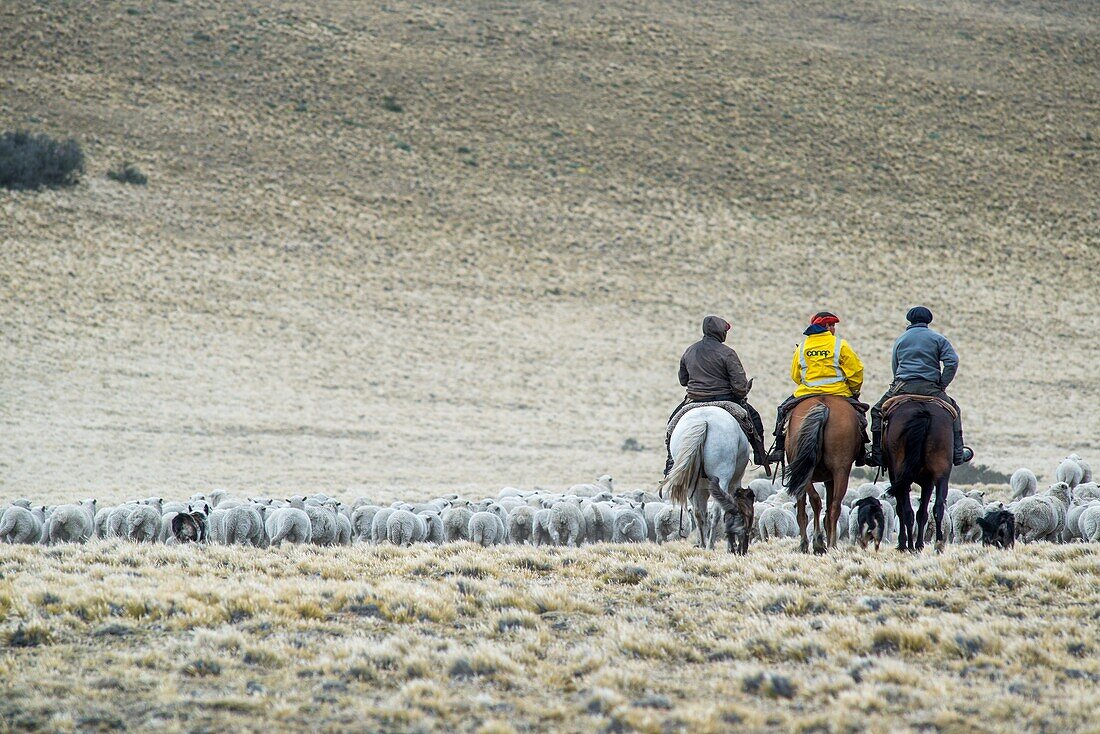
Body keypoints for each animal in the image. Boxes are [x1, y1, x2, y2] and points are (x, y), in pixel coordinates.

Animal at [655, 404, 752, 554]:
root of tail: (703, 421)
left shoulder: (701, 488)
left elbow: (702, 512)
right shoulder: (735, 483)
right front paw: (731, 546)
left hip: (692, 483)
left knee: (699, 513)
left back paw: (703, 544)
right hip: (722, 478)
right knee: (717, 512)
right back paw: (711, 545)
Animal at [787, 398, 862, 554]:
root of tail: (824, 405)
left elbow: (801, 512)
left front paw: (804, 545)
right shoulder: (830, 479)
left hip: (806, 472)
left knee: (816, 501)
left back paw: (818, 542)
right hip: (841, 470)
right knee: (834, 506)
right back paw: (831, 544)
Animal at [884, 402, 954, 550]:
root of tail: (924, 412)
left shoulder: (894, 477)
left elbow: (901, 510)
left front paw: (904, 542)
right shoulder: (928, 482)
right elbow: (922, 513)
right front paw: (920, 544)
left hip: (900, 475)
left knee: (907, 511)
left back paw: (909, 546)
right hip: (941, 473)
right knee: (938, 507)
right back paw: (938, 544)